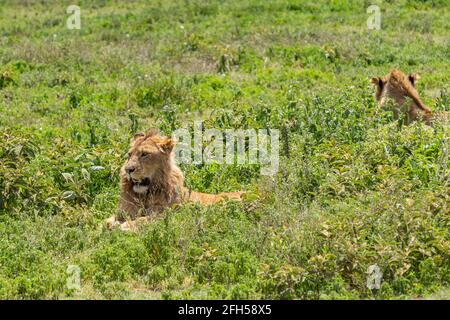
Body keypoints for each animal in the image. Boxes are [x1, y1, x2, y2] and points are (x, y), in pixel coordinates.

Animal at [106, 128, 244, 230]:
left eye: (144, 154)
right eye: (129, 155)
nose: (128, 169)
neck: (145, 195)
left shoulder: (169, 214)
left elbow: (144, 219)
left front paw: (127, 225)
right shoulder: (123, 211)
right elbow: (106, 222)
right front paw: (113, 225)